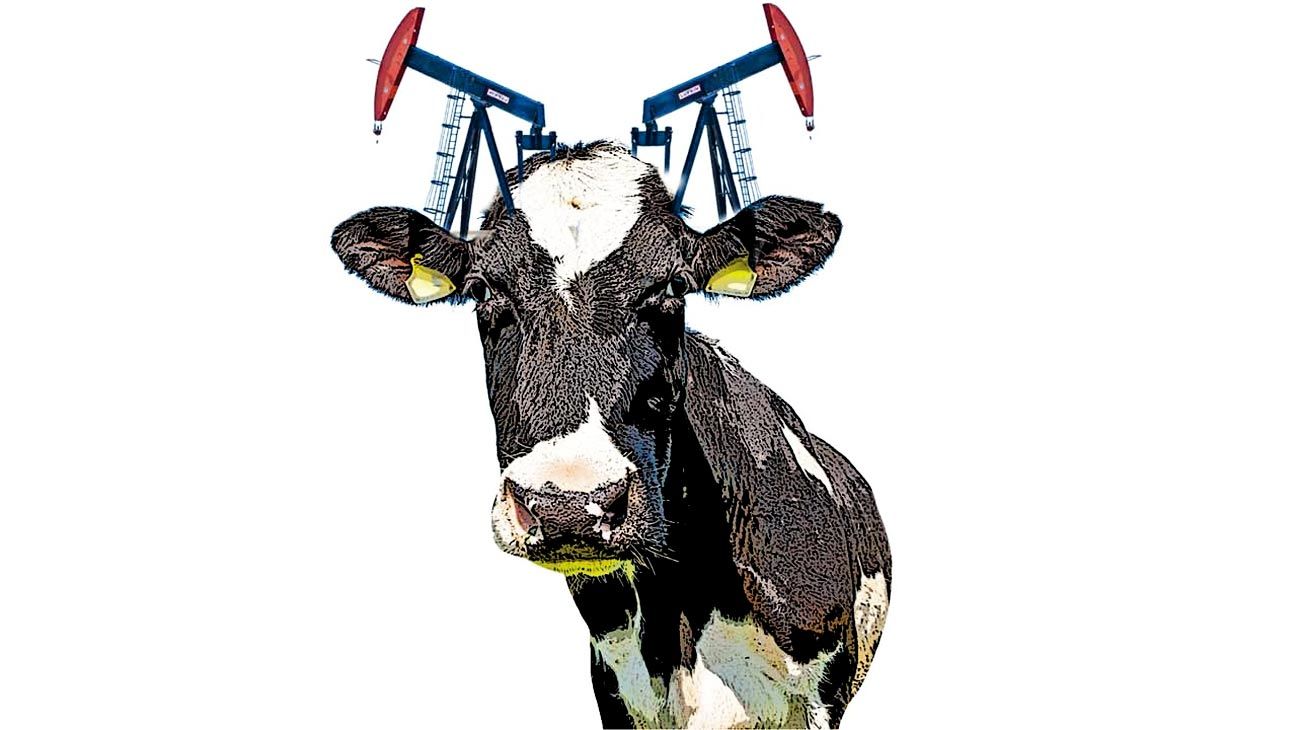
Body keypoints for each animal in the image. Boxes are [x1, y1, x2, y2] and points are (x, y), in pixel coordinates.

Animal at [330, 141, 890, 728]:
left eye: (671, 285)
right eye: (483, 289)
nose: (569, 506)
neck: (677, 609)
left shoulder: (823, 688)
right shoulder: (613, 689)